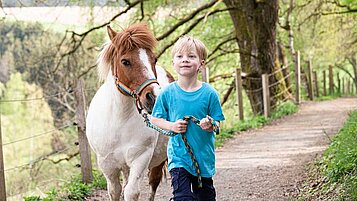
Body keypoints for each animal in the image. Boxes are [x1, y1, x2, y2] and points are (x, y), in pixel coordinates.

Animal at [86, 23, 174, 199]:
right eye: (125, 61)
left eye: (154, 59)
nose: (155, 97)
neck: (118, 120)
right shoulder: (107, 165)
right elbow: (115, 191)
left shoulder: (140, 158)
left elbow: (131, 192)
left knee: (154, 182)